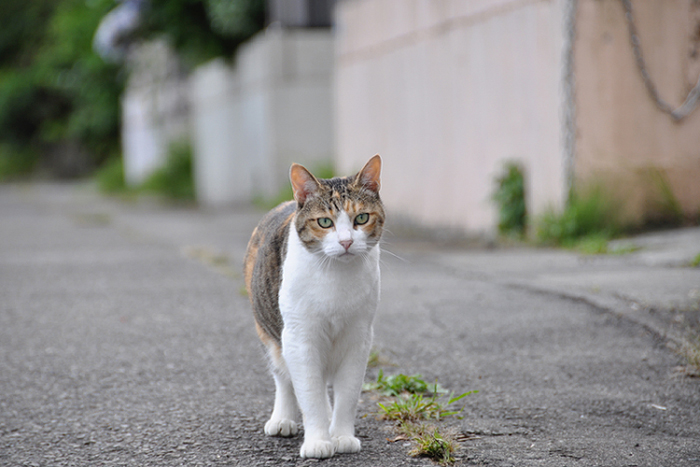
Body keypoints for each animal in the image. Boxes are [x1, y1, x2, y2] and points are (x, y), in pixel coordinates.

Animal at [245, 155, 386, 458]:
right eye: (324, 222)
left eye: (361, 218)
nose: (346, 241)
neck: (336, 277)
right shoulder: (300, 338)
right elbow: (309, 394)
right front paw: (318, 441)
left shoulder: (359, 337)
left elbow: (348, 393)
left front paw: (341, 436)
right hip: (268, 332)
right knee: (284, 377)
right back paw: (283, 419)